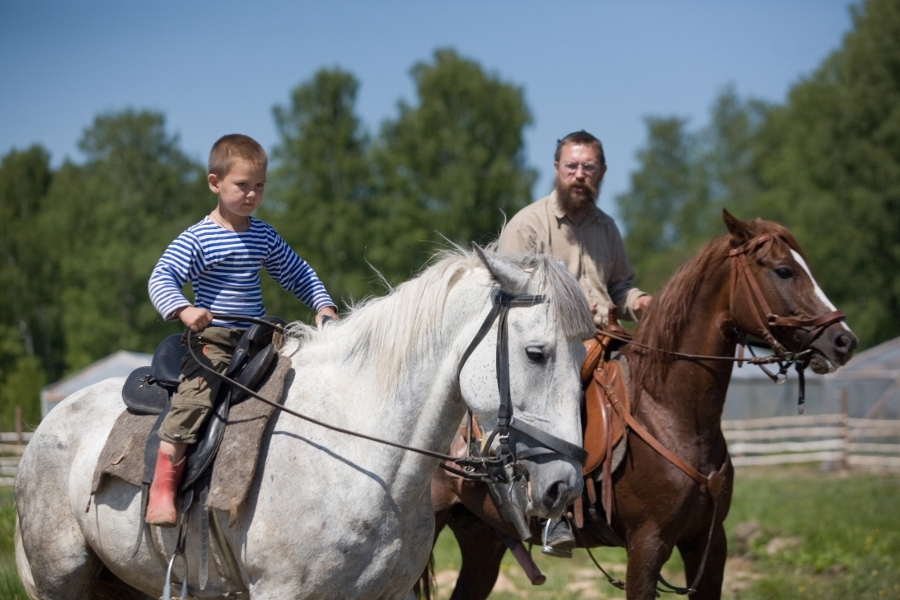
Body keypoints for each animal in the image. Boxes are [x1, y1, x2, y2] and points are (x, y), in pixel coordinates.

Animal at [428, 213, 856, 596]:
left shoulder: (708, 544)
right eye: (784, 271)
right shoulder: (647, 546)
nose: (844, 341)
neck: (669, 413)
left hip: (483, 540)